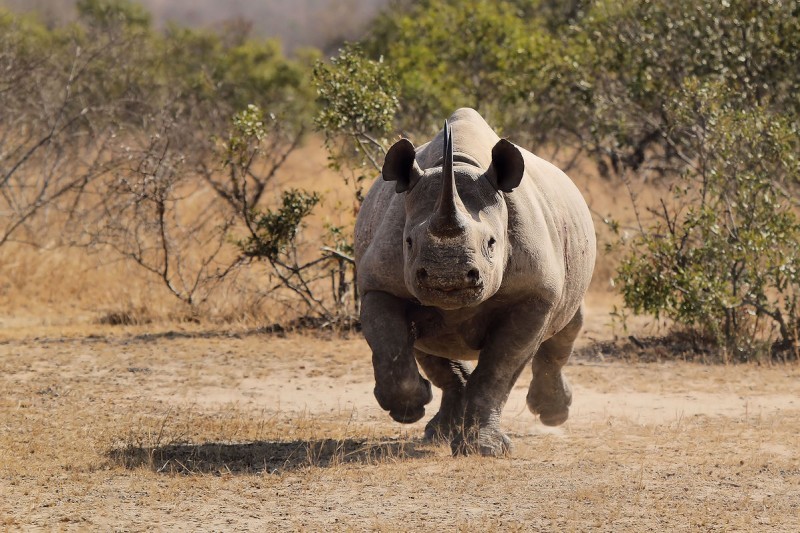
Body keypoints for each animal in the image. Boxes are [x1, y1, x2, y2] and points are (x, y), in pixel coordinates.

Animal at [354, 109, 592, 458]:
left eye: (492, 243)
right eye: (408, 243)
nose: (446, 277)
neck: (458, 164)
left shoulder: (534, 294)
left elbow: (498, 370)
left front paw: (485, 448)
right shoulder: (379, 284)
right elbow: (391, 347)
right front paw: (408, 408)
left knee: (568, 325)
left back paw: (553, 414)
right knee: (428, 344)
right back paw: (439, 429)